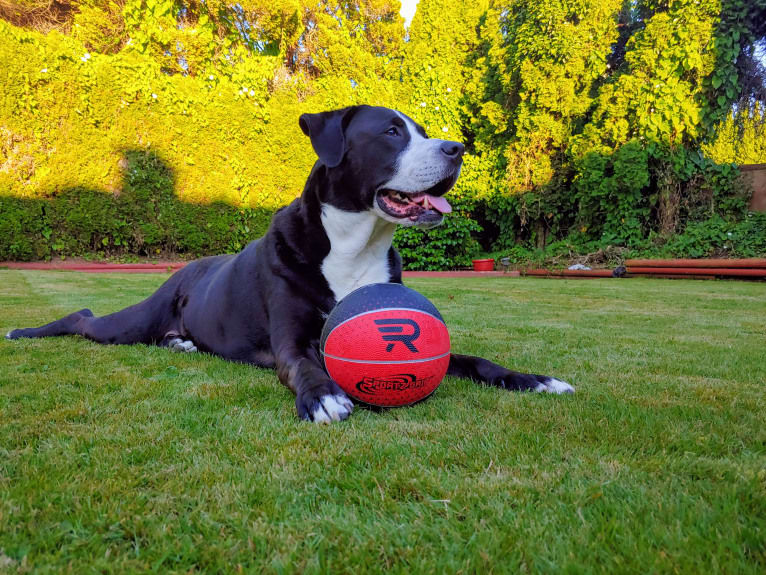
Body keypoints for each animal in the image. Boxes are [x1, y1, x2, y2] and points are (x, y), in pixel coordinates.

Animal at [4, 107, 568, 424]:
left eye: (422, 131)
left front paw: (533, 379)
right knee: (83, 319)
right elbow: (304, 366)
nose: (458, 148)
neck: (353, 246)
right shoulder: (292, 342)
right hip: (130, 322)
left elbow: (473, 360)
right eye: (392, 132)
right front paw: (323, 398)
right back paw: (26, 332)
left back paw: (183, 344)